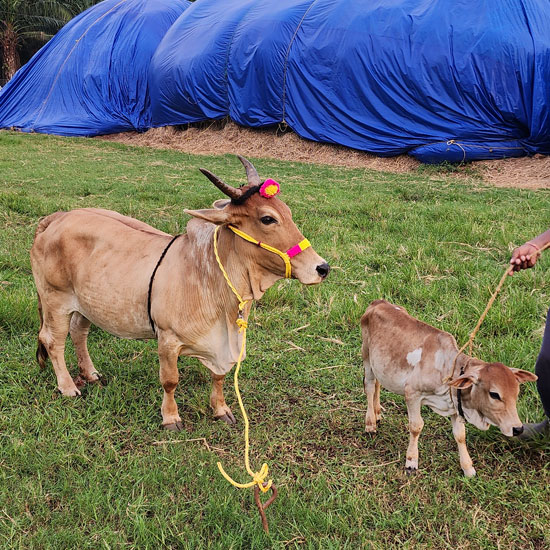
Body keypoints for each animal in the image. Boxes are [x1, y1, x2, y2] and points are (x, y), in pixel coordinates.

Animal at [30, 155, 330, 432]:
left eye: (287, 212)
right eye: (268, 219)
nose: (322, 268)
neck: (212, 279)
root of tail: (56, 218)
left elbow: (219, 376)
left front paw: (221, 410)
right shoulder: (168, 339)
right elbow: (170, 380)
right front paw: (171, 418)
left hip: (85, 304)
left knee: (79, 333)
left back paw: (91, 373)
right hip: (55, 299)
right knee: (52, 341)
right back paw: (68, 386)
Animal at [362, 300, 540, 476]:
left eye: (516, 393)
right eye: (494, 394)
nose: (518, 429)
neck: (446, 367)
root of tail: (378, 302)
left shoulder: (455, 404)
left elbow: (460, 435)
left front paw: (468, 468)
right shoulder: (412, 393)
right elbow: (416, 427)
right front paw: (411, 461)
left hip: (380, 366)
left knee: (378, 383)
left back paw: (378, 414)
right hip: (367, 357)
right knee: (370, 386)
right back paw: (370, 423)